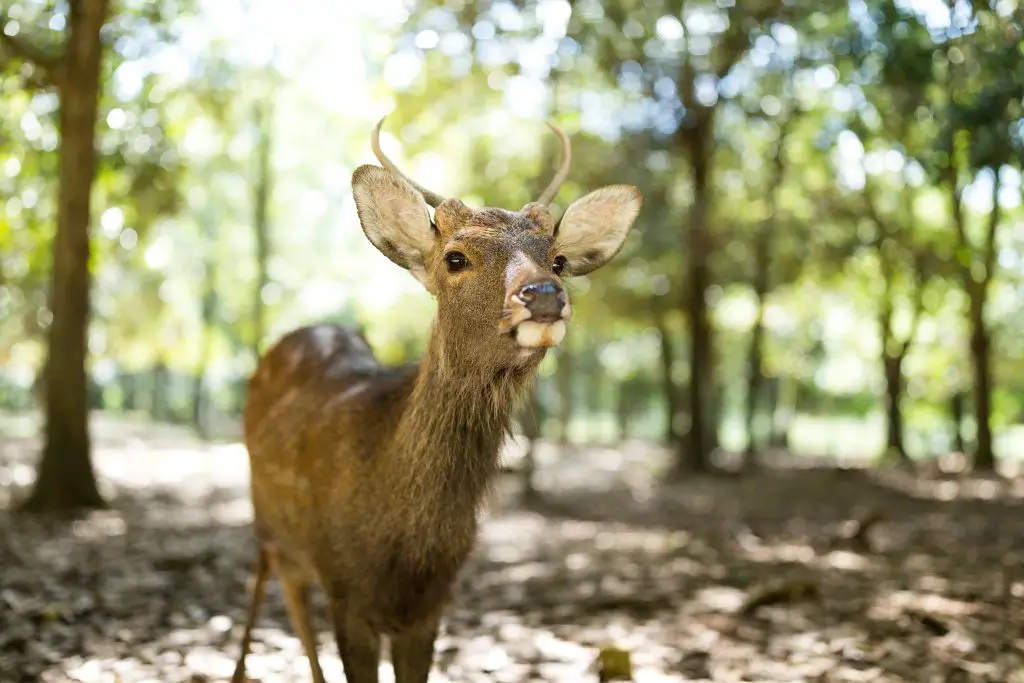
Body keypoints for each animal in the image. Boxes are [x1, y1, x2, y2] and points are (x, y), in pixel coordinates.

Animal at [232, 117, 638, 683]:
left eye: (558, 260)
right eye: (455, 257)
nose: (543, 295)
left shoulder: (432, 606)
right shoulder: (345, 591)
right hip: (269, 521)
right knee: (283, 590)